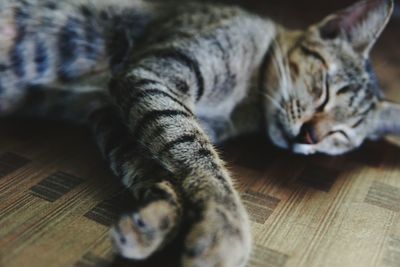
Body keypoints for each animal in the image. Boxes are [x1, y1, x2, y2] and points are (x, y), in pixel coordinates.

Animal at [0, 0, 396, 266]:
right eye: (326, 88)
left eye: (341, 135)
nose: (311, 137)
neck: (245, 105)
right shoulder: (152, 76)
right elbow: (200, 157)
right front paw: (224, 228)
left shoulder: (109, 113)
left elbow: (149, 167)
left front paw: (157, 219)